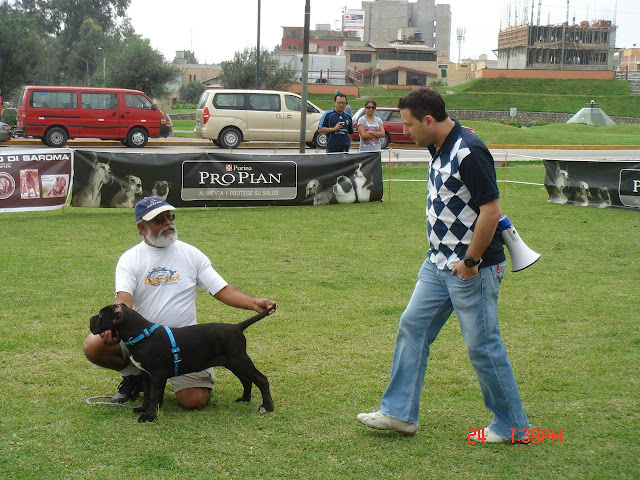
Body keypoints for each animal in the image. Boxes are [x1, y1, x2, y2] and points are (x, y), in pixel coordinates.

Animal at [89, 306, 274, 422]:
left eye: (101, 315)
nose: (90, 318)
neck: (142, 334)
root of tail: (237, 327)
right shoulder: (147, 375)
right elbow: (148, 394)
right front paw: (143, 408)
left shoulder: (157, 375)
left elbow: (155, 395)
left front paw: (149, 416)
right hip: (235, 363)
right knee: (247, 380)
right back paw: (245, 399)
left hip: (240, 361)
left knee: (262, 380)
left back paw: (267, 407)